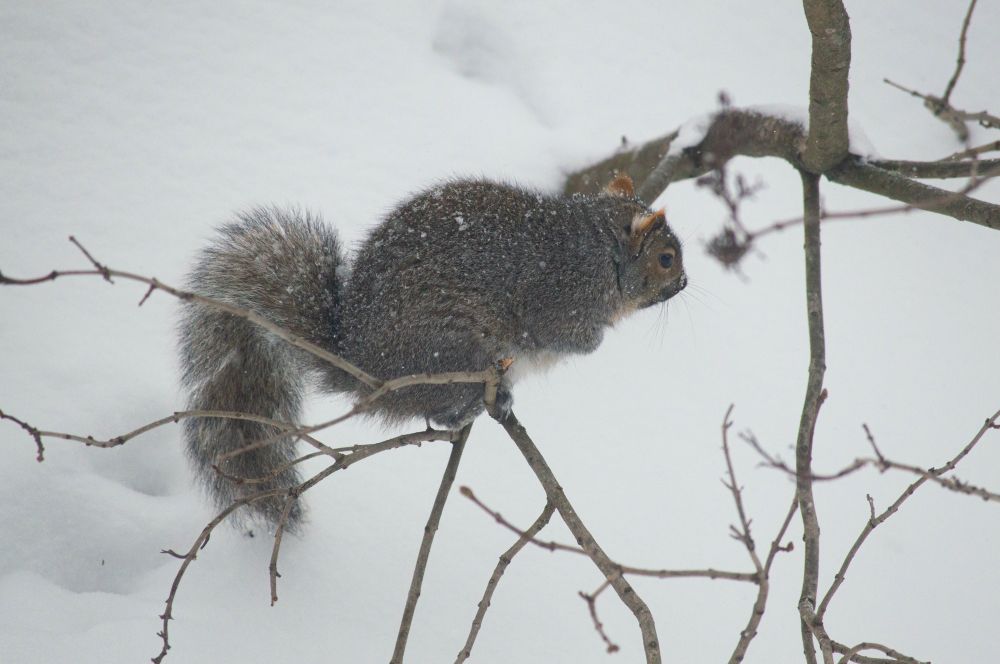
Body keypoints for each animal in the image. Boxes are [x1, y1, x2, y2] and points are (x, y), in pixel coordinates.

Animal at [178, 174, 687, 529]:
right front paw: (598, 339)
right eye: (666, 258)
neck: (601, 250)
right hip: (453, 353)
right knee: (440, 409)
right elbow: (568, 336)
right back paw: (478, 405)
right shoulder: (563, 297)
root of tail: (364, 367)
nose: (683, 284)